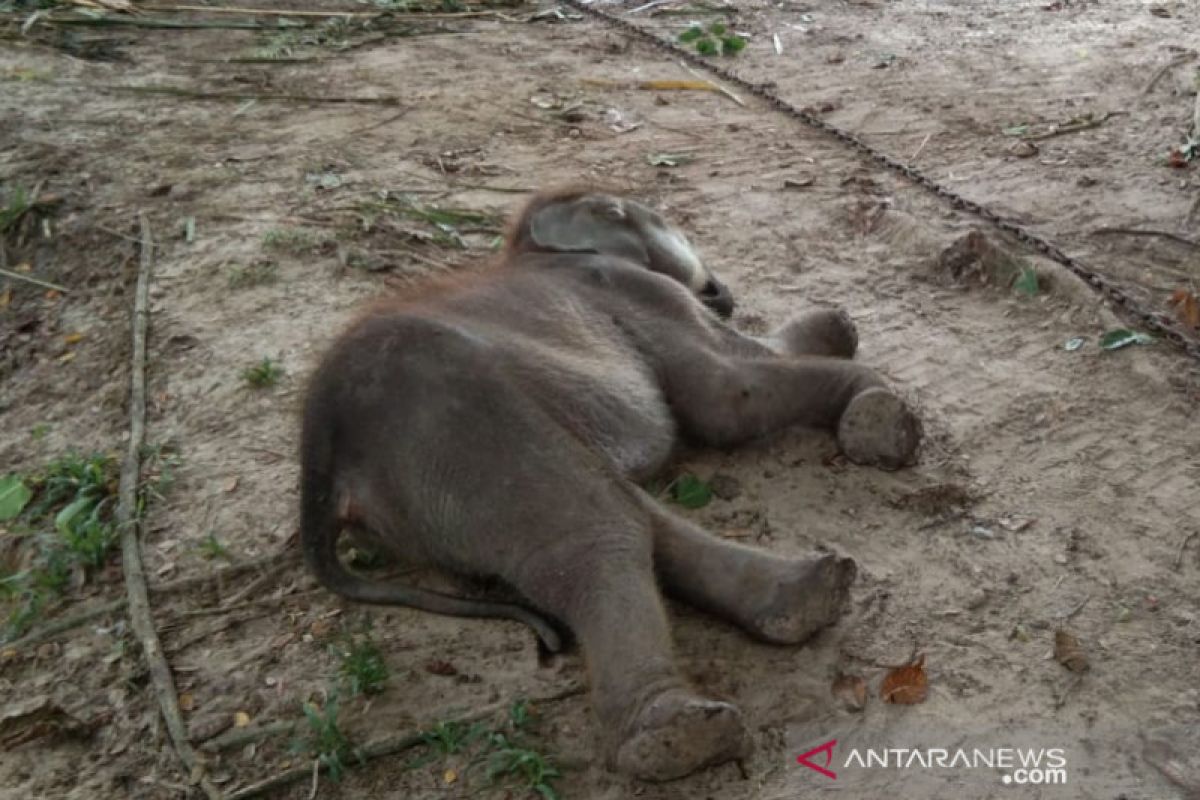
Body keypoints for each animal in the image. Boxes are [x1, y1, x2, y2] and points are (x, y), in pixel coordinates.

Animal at [300, 189, 916, 782]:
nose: (719, 288)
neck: (531, 244)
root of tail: (324, 460)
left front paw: (838, 330)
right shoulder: (631, 291)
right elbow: (728, 392)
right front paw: (880, 412)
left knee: (617, 508)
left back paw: (809, 595)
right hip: (461, 426)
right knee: (601, 531)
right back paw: (677, 737)